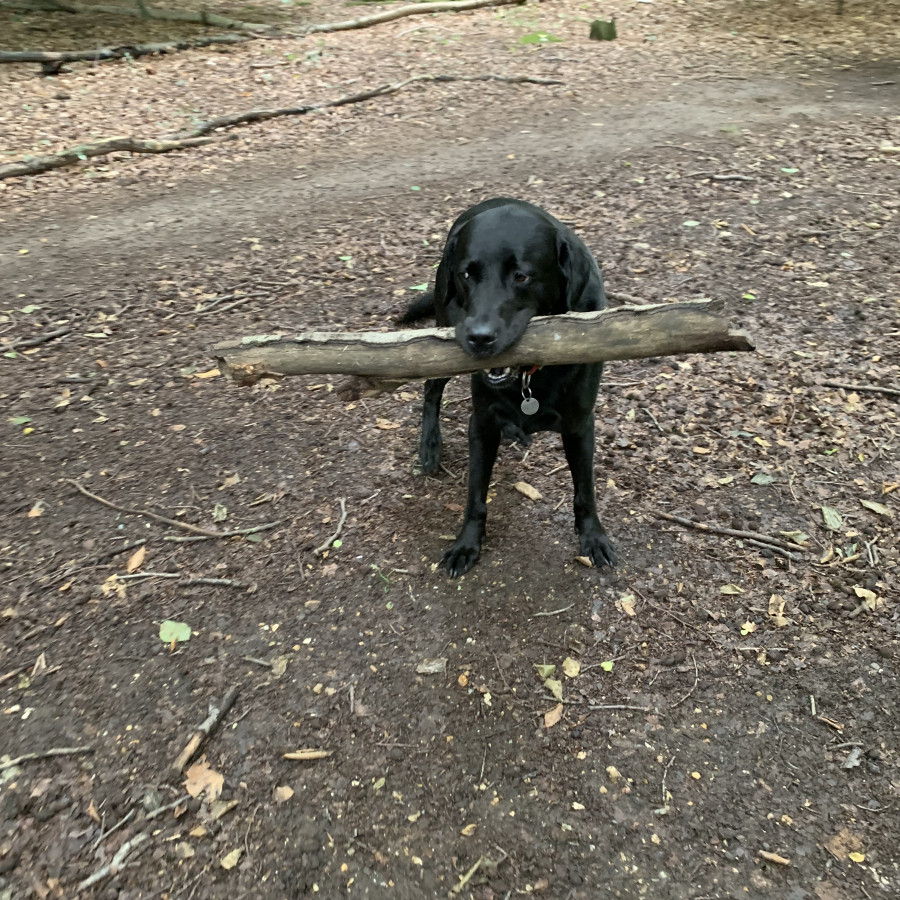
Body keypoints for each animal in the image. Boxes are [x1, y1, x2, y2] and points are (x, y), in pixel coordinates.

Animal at [402, 197, 620, 576]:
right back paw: (430, 446)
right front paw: (466, 544)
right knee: (431, 385)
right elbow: (475, 494)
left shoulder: (580, 425)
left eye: (522, 276)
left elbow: (585, 490)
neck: (529, 375)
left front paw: (593, 537)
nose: (478, 337)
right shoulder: (482, 423)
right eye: (467, 274)